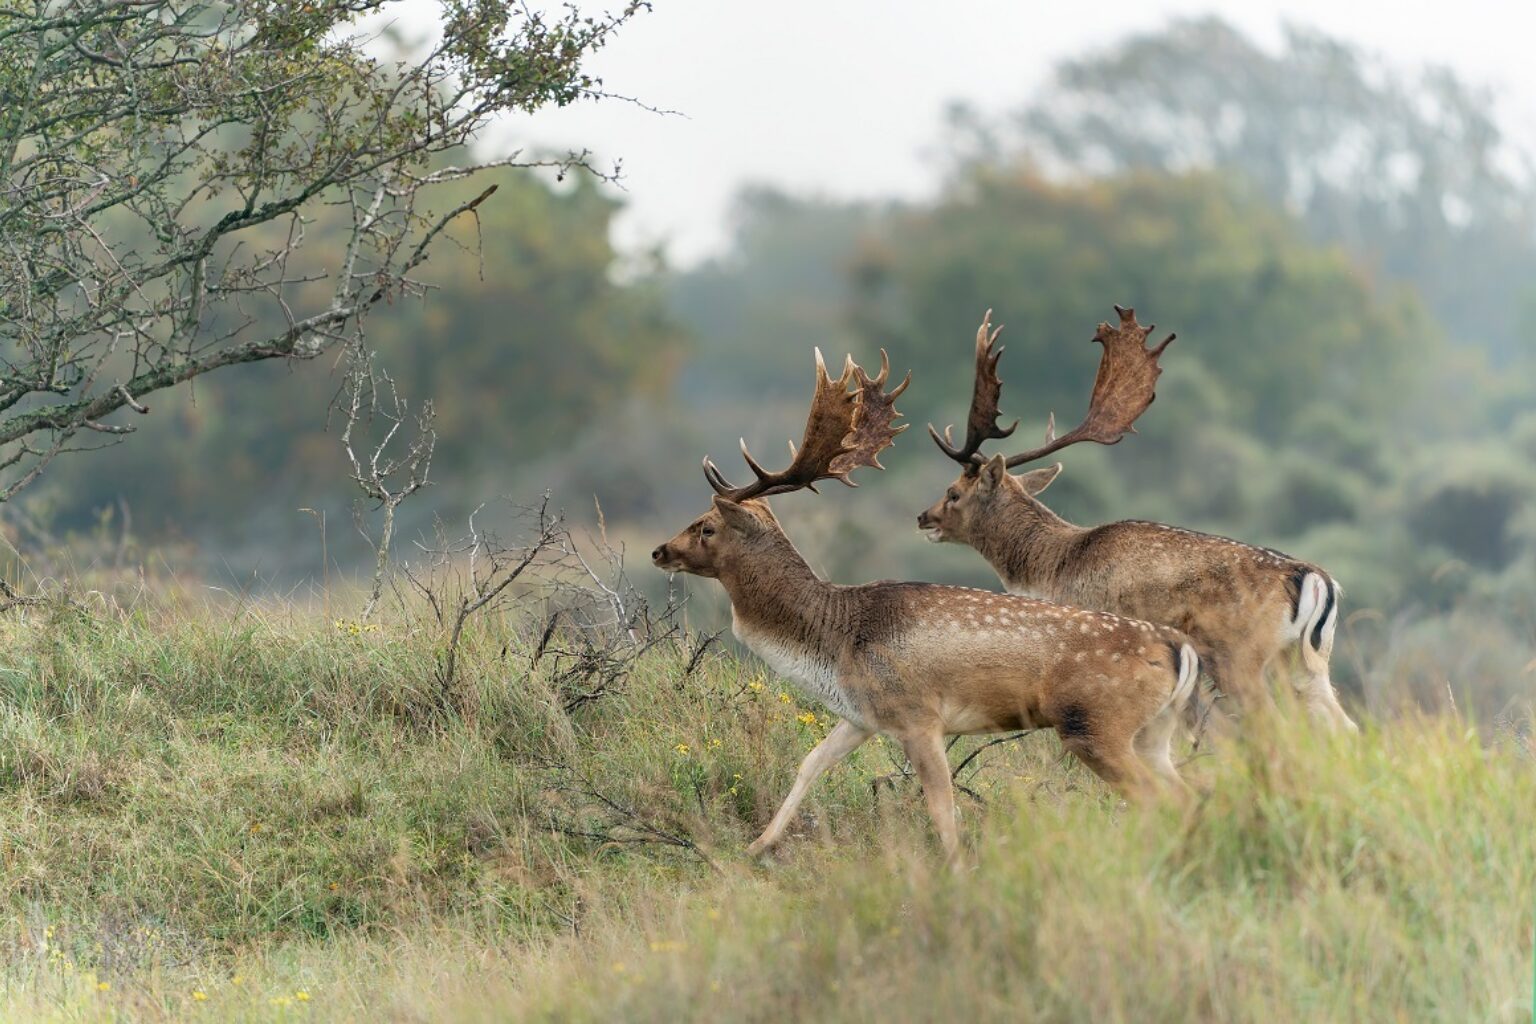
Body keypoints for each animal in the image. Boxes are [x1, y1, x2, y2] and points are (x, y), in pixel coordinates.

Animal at [648, 348, 1198, 859]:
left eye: (706, 526)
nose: (659, 550)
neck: (831, 640)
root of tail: (1179, 649)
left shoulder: (917, 714)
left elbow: (942, 806)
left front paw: (955, 869)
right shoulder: (861, 715)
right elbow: (810, 763)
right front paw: (755, 847)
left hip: (1095, 724)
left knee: (1158, 798)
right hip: (1154, 733)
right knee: (1188, 792)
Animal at [915, 308, 1351, 733]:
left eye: (953, 492)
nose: (923, 517)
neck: (1052, 568)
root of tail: (1316, 579)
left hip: (1242, 656)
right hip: (1306, 662)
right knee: (1342, 725)